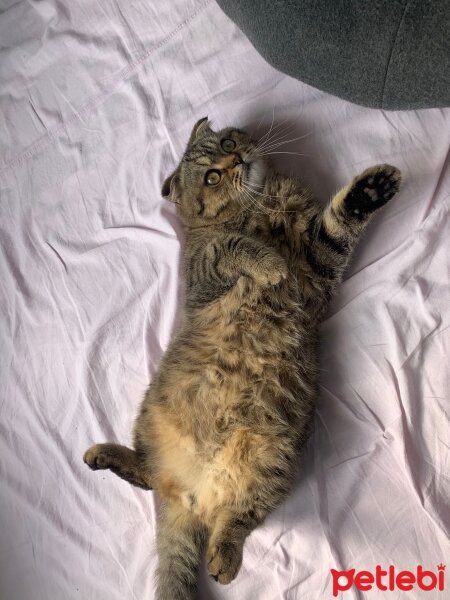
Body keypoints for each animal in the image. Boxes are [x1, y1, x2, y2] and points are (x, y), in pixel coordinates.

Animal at [83, 115, 400, 596]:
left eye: (229, 142)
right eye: (212, 176)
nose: (235, 160)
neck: (261, 207)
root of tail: (190, 496)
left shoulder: (318, 270)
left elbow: (337, 226)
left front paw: (371, 190)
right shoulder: (202, 275)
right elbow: (230, 246)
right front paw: (267, 264)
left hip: (271, 463)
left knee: (233, 518)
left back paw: (224, 555)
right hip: (151, 422)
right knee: (148, 476)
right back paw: (105, 457)